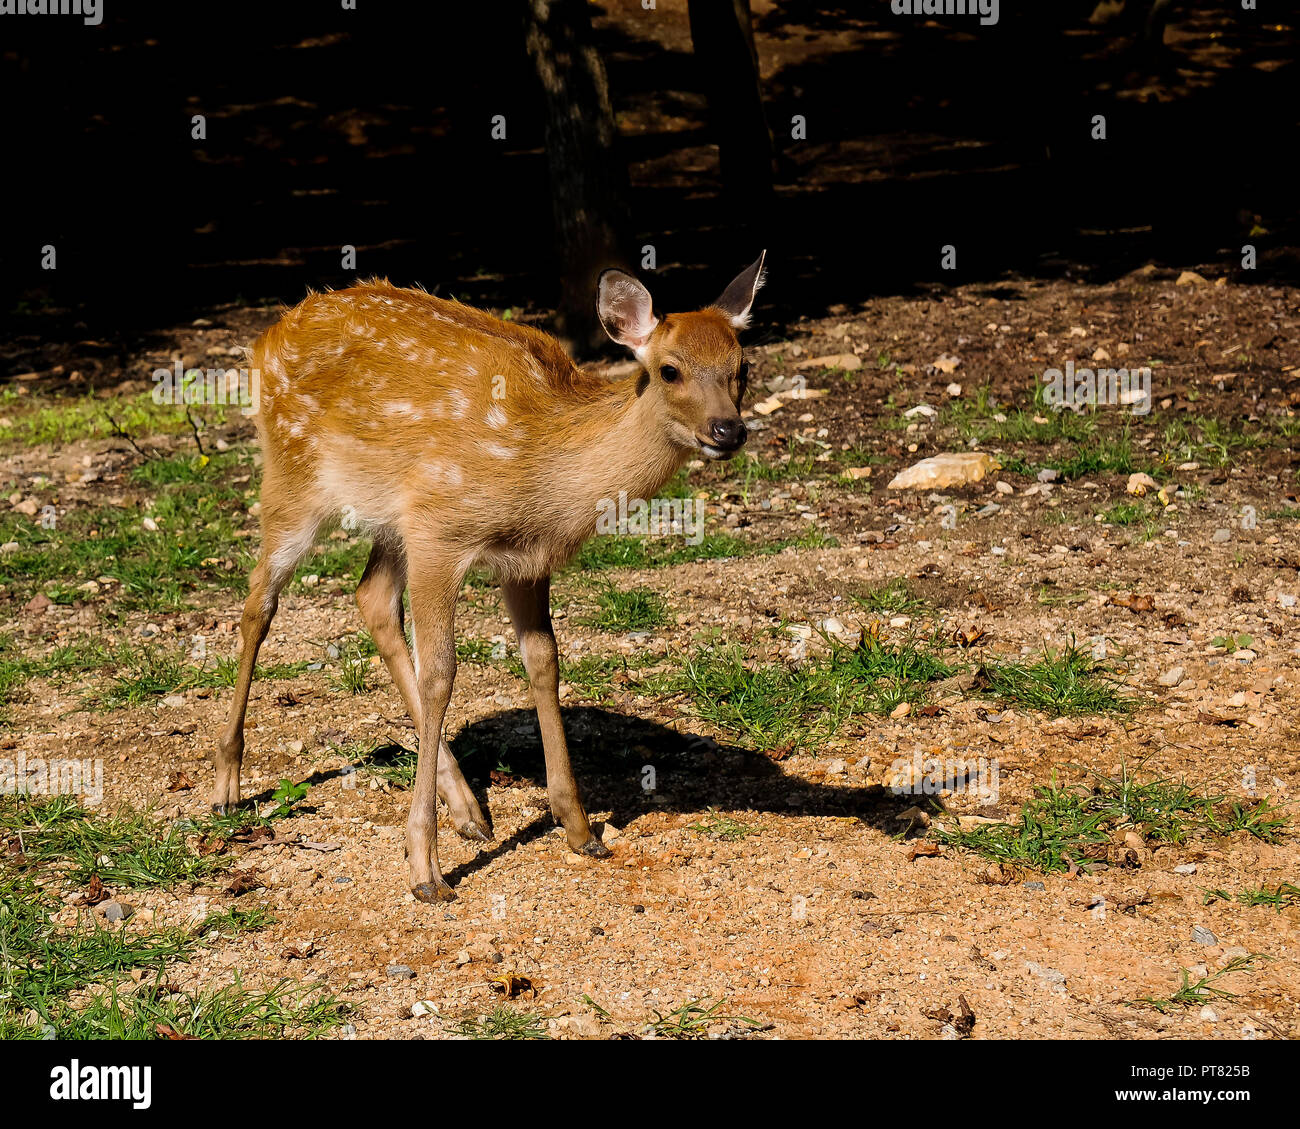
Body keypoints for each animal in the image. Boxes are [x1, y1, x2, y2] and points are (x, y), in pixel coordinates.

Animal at [211, 253, 759, 900]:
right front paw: (424, 870)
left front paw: (578, 828)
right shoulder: (441, 533)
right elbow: (441, 675)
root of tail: (268, 335)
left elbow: (544, 661)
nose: (728, 430)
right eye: (669, 370)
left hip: (391, 519)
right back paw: (226, 787)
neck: (544, 473)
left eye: (743, 367)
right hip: (293, 476)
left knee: (370, 597)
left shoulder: (524, 559)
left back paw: (470, 810)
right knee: (258, 606)